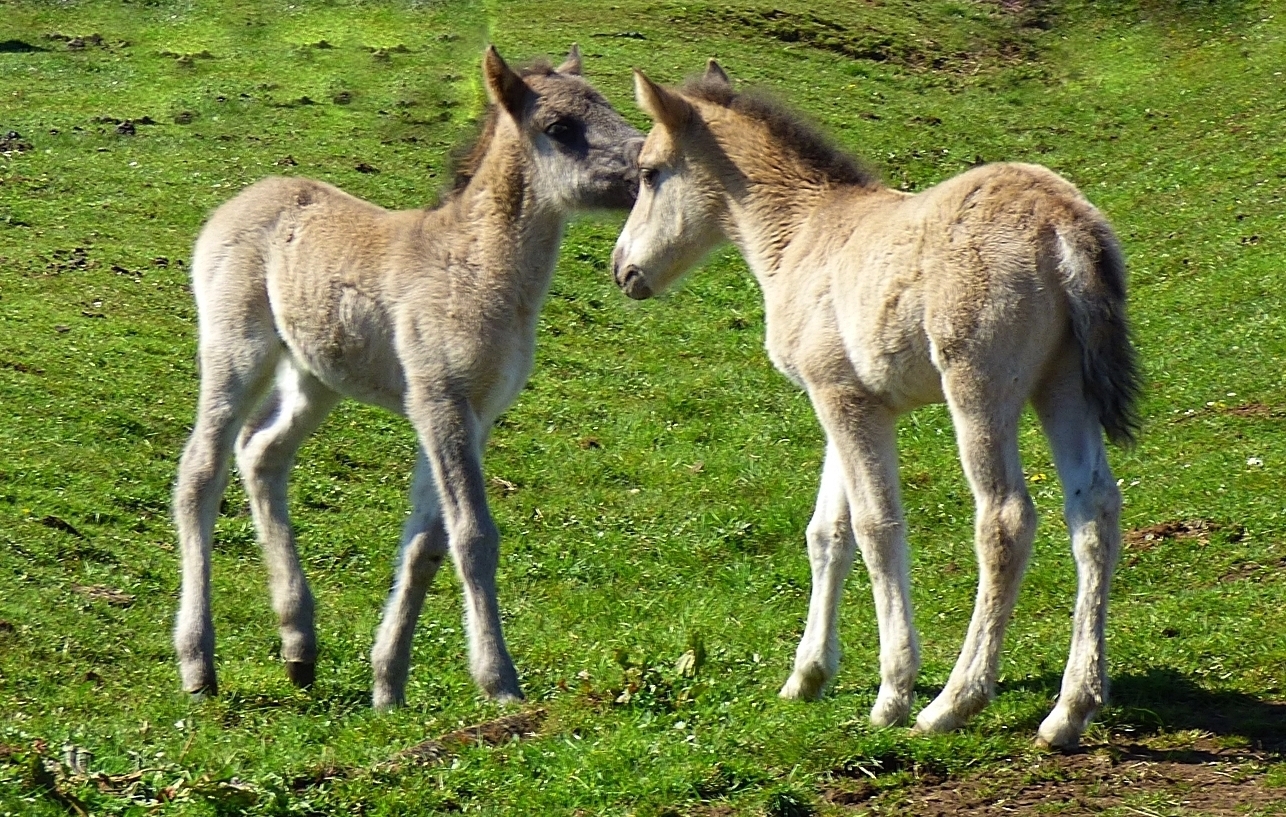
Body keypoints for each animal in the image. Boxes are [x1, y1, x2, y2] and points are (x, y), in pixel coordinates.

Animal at [173, 46, 643, 710]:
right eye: (560, 128)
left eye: (609, 104)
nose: (647, 167)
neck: (477, 271)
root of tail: (239, 201)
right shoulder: (439, 398)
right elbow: (472, 535)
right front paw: (499, 680)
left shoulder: (475, 412)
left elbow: (426, 542)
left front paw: (387, 684)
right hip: (237, 348)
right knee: (200, 472)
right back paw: (198, 664)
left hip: (317, 375)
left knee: (261, 453)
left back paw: (299, 645)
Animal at [614, 64, 1147, 751]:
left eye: (650, 172)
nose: (623, 269)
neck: (803, 233)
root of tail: (1064, 222)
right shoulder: (845, 400)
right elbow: (827, 532)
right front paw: (807, 676)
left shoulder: (843, 400)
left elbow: (876, 527)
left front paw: (892, 691)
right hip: (1063, 386)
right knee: (1095, 510)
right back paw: (1071, 709)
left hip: (979, 387)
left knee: (1004, 518)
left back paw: (952, 703)